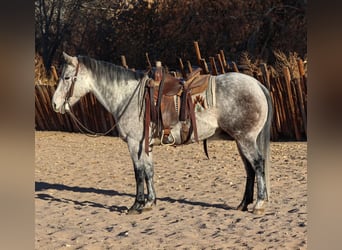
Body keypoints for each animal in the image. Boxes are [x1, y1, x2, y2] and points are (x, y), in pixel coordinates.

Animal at [52, 52, 274, 215]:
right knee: (250, 169)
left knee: (258, 164)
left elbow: (139, 173)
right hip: (240, 140)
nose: (55, 104)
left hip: (245, 139)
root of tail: (257, 85)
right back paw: (243, 204)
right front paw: (150, 202)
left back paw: (259, 204)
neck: (128, 96)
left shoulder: (134, 143)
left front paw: (137, 205)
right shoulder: (145, 144)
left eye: (66, 77)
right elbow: (149, 171)